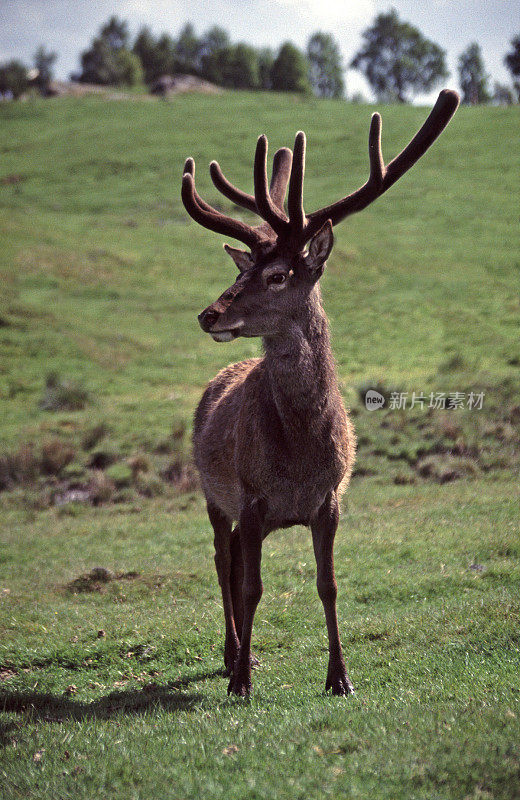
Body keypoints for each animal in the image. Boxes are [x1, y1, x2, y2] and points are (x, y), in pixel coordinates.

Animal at [181, 90, 458, 696]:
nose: (208, 314)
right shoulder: (250, 497)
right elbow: (252, 587)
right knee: (221, 562)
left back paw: (242, 657)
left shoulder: (330, 500)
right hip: (213, 493)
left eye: (278, 274)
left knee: (231, 562)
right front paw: (241, 683)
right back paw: (233, 656)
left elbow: (327, 585)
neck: (300, 455)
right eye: (242, 271)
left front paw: (340, 677)